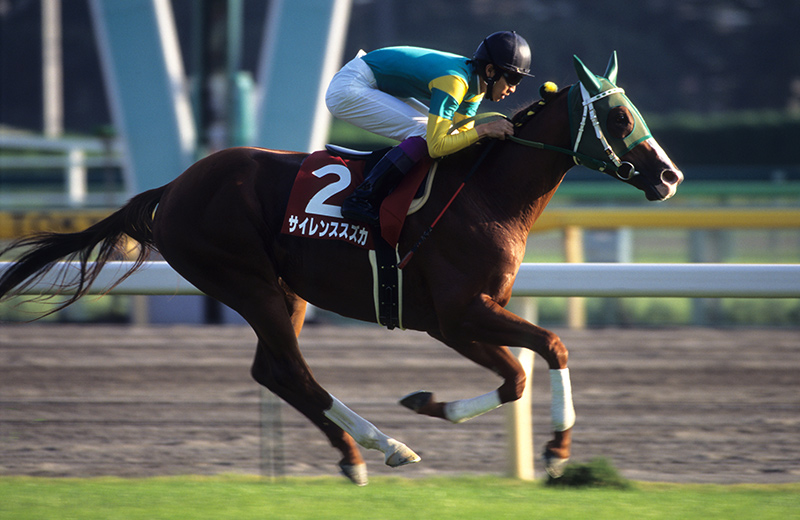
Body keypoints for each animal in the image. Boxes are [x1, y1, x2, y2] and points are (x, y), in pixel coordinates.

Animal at [0, 53, 682, 485]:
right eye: (620, 118)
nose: (671, 176)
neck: (486, 192)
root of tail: (175, 185)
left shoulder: (456, 319)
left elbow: (518, 374)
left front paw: (432, 402)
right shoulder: (461, 312)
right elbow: (548, 349)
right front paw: (558, 451)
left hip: (285, 290)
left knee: (272, 371)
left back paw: (357, 452)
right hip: (243, 280)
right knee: (296, 374)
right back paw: (383, 448)